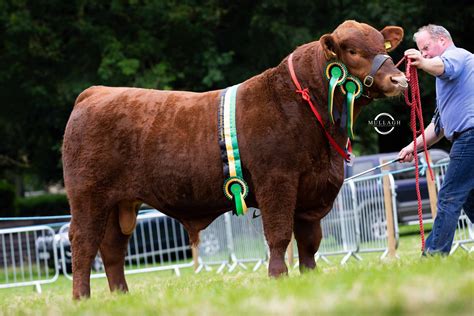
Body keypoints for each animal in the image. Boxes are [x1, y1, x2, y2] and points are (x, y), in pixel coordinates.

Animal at [62, 20, 408, 298]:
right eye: (352, 50)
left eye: (382, 45)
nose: (399, 80)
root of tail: (95, 92)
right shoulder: (277, 180)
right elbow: (279, 234)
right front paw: (278, 276)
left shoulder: (313, 190)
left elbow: (310, 241)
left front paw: (309, 277)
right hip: (88, 195)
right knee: (83, 243)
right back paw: (81, 298)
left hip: (120, 202)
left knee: (112, 248)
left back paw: (121, 296)